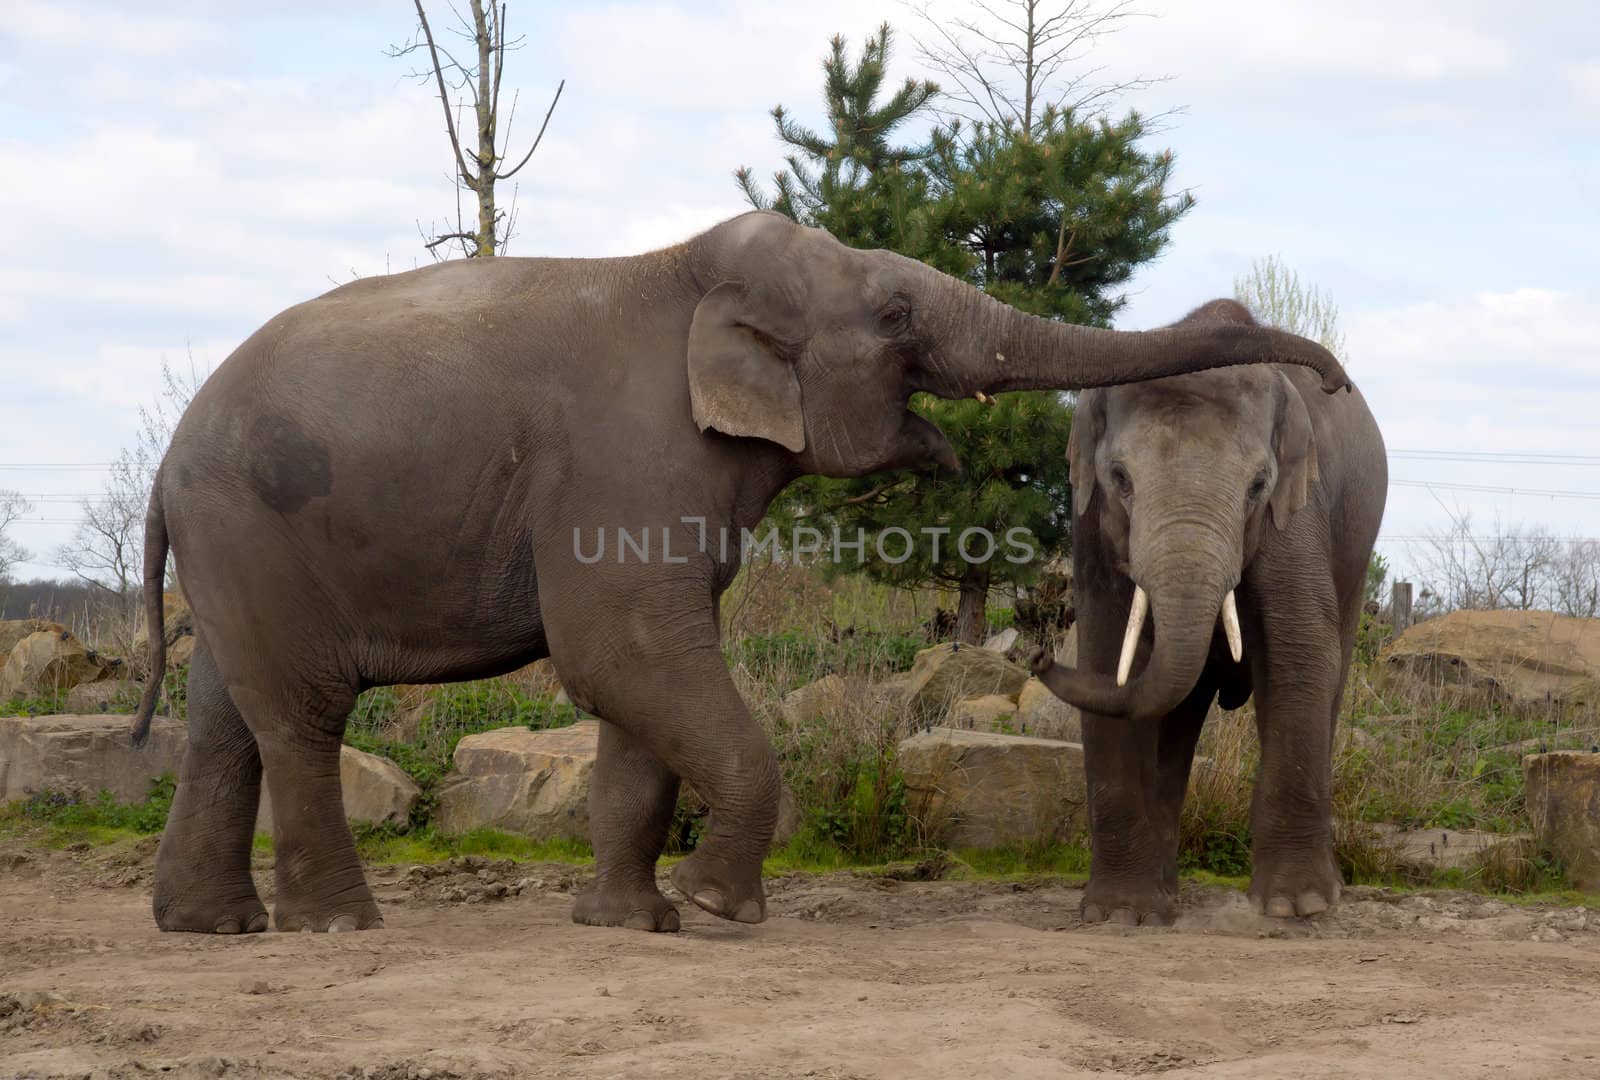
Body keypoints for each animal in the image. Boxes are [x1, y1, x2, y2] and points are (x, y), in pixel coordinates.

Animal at [131, 212, 1344, 940]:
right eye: (895, 315)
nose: (1327, 376)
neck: (686, 269)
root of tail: (164, 462)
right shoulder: (627, 461)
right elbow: (623, 653)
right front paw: (718, 909)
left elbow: (638, 685)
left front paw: (634, 925)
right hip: (250, 530)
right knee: (299, 716)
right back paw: (339, 925)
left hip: (233, 548)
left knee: (224, 717)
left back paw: (209, 928)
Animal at [1030, 299, 1382, 928]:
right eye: (1120, 478)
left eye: (1258, 485)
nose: (1036, 653)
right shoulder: (1090, 521)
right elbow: (1106, 653)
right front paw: (1119, 915)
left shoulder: (1299, 509)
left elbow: (1300, 653)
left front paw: (1295, 907)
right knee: (1177, 710)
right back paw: (1164, 900)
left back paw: (1326, 891)